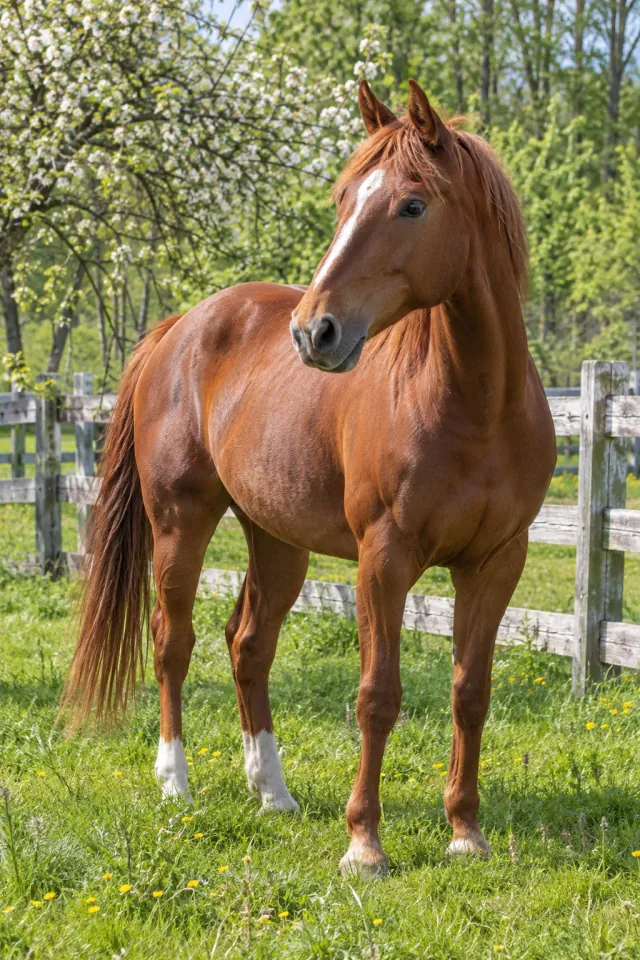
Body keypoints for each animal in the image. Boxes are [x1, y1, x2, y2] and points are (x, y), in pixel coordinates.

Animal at [63, 79, 556, 877]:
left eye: (411, 205)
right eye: (345, 197)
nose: (313, 331)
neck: (474, 406)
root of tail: (181, 326)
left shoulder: (495, 562)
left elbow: (470, 692)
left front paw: (465, 831)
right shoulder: (383, 561)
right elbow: (377, 696)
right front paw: (365, 844)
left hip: (276, 538)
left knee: (248, 645)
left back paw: (273, 791)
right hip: (180, 524)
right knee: (173, 641)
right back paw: (175, 782)